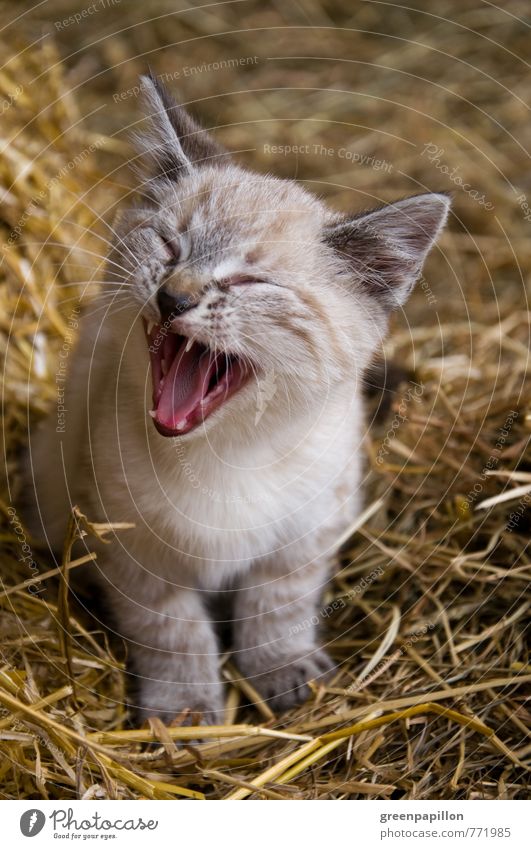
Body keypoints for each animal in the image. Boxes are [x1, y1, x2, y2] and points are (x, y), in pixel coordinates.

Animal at [22, 74, 450, 724]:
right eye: (169, 247)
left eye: (248, 281)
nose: (173, 298)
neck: (224, 450)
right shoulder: (129, 544)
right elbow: (171, 629)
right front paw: (184, 709)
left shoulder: (305, 532)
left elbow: (277, 610)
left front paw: (283, 674)